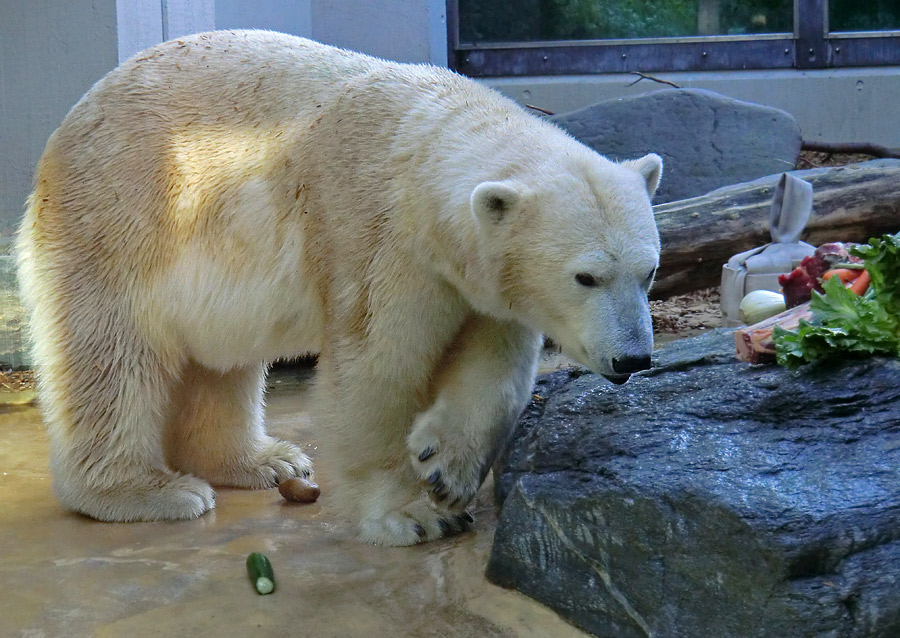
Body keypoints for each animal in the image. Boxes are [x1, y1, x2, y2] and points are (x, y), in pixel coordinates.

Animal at [14, 30, 660, 548]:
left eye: (648, 270)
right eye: (586, 276)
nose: (632, 358)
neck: (422, 144)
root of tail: (63, 133)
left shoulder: (479, 277)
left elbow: (495, 368)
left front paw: (444, 466)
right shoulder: (379, 238)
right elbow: (376, 372)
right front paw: (410, 515)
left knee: (222, 363)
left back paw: (265, 460)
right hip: (123, 218)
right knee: (111, 354)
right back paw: (148, 491)